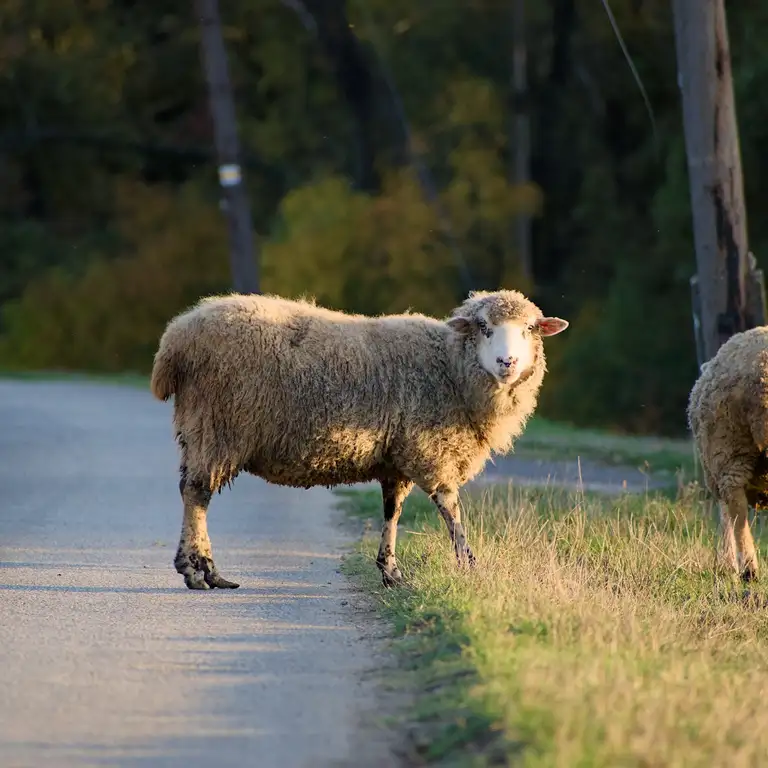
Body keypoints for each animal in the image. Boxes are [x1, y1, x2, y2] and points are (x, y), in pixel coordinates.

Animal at [152, 288, 568, 588]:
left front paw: (391, 571)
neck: (449, 369)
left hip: (196, 426)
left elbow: (392, 511)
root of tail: (176, 338)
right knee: (198, 494)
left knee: (187, 487)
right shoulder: (431, 452)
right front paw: (469, 565)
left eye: (529, 329)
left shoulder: (397, 456)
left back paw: (192, 565)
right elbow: (451, 511)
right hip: (219, 423)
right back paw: (203, 572)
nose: (507, 363)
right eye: (483, 327)